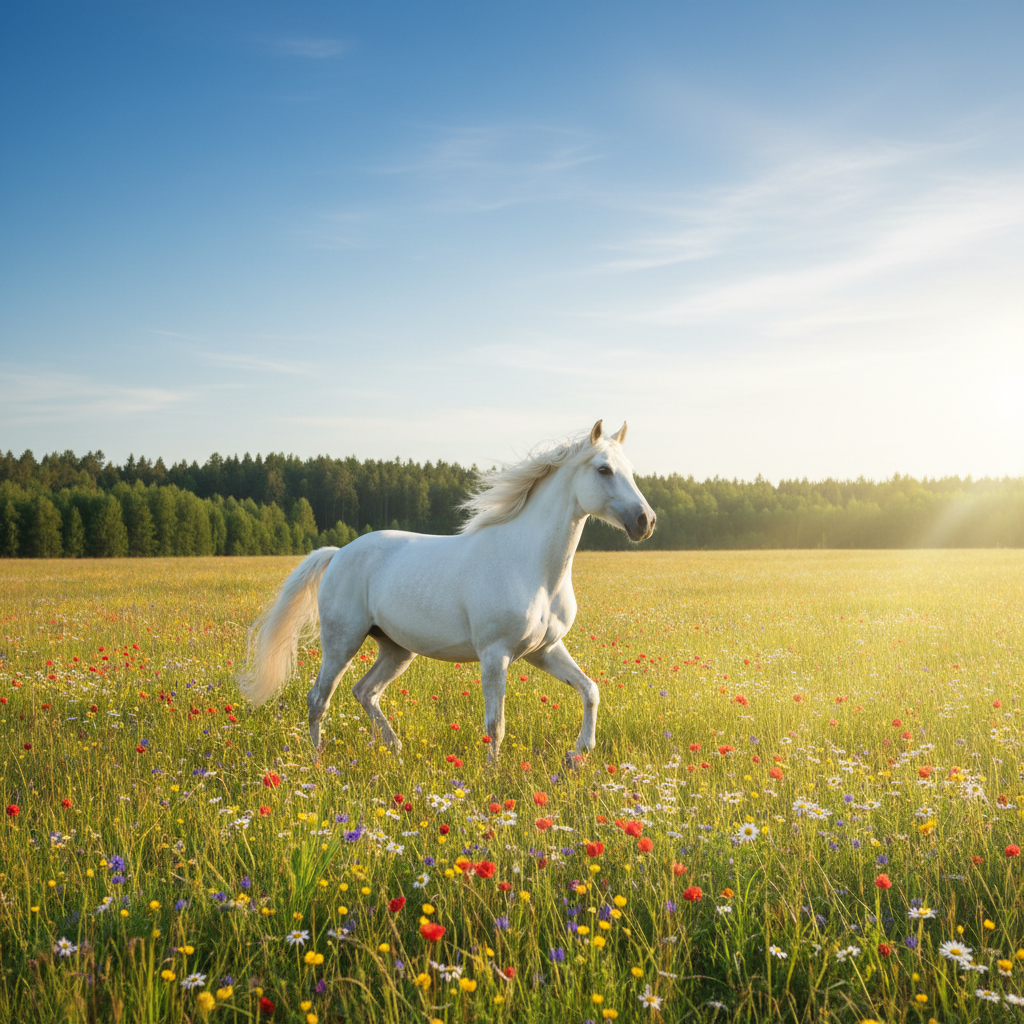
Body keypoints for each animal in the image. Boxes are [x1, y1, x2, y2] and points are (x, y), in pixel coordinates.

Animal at [238, 419, 656, 760]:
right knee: (318, 699)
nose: (645, 521)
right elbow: (495, 725)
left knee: (365, 691)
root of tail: (338, 552)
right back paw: (318, 761)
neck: (533, 569)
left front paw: (580, 751)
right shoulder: (495, 655)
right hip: (342, 641)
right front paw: (493, 776)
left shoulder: (545, 650)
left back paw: (395, 748)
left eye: (630, 471)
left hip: (396, 649)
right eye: (603, 469)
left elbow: (590, 689)